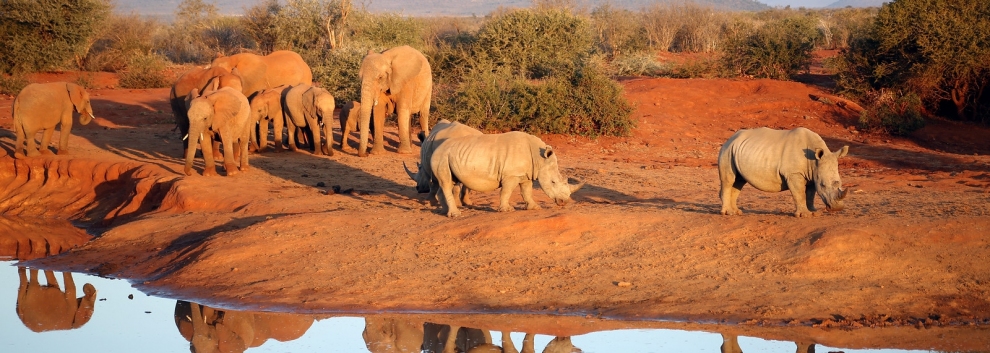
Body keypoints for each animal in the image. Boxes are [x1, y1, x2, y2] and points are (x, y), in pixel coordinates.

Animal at [432, 131, 584, 216]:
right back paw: (456, 214)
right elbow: (506, 192)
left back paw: (444, 212)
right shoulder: (511, 175)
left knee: (447, 182)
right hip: (442, 155)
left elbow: (527, 191)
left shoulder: (526, 175)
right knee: (447, 183)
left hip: (447, 155)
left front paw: (534, 207)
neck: (539, 158)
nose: (564, 202)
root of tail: (437, 148)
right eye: (553, 182)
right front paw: (507, 210)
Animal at [720, 125, 852, 216]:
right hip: (727, 150)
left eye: (840, 183)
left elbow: (810, 194)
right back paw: (728, 213)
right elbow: (799, 193)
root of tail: (730, 139)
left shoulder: (813, 174)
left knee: (739, 181)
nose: (837, 208)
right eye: (823, 185)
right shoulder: (794, 173)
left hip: (737, 150)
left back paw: (736, 212)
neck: (814, 161)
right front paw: (804, 215)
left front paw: (814, 212)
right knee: (729, 180)